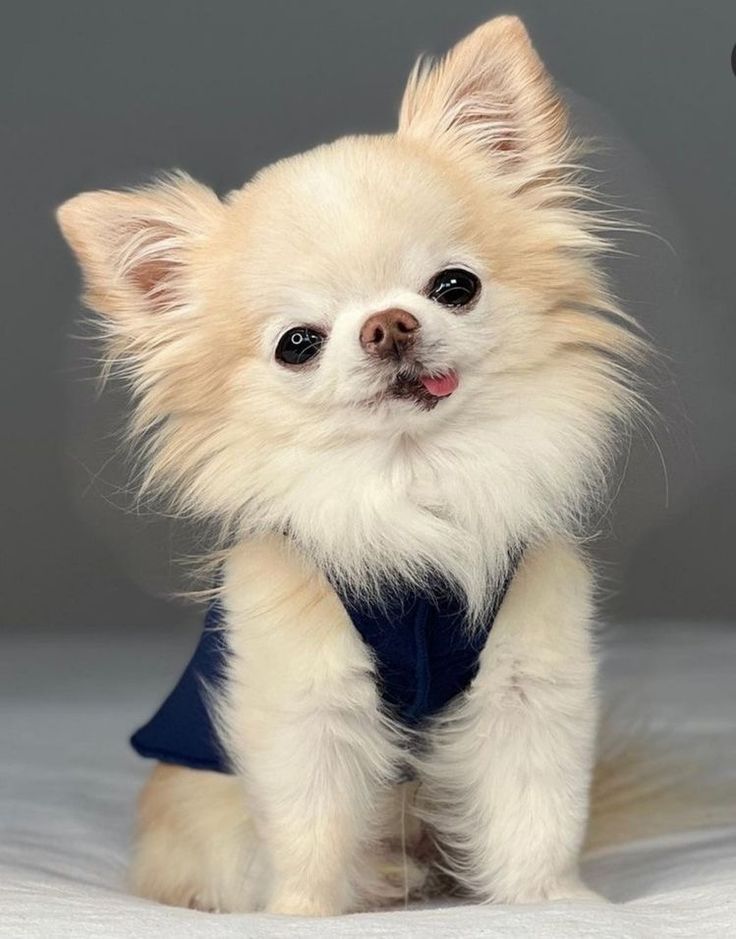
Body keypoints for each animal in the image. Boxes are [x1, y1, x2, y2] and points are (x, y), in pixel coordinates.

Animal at [56, 11, 648, 916]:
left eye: (455, 287)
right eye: (298, 343)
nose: (389, 325)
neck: (412, 479)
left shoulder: (527, 683)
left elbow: (535, 808)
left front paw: (553, 902)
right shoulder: (308, 704)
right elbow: (311, 829)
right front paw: (303, 912)